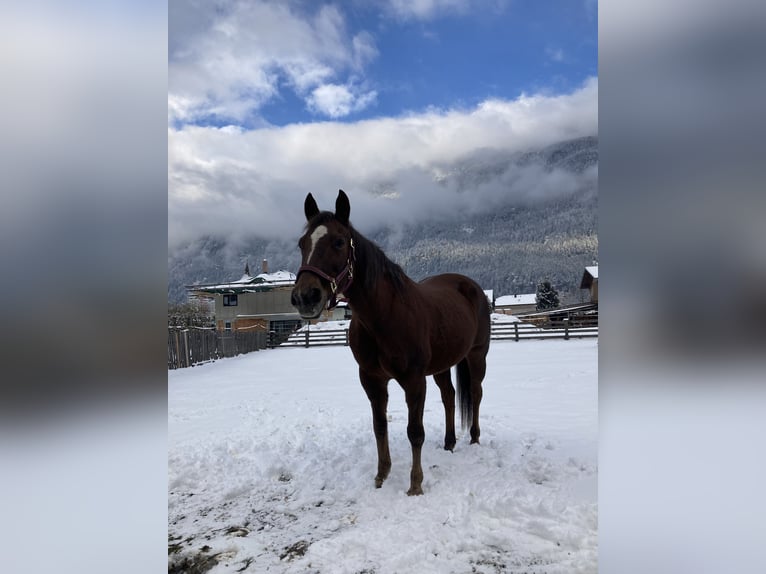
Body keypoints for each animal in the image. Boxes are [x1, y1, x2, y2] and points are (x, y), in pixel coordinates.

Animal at [292, 189, 488, 496]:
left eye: (338, 242)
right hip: (443, 365)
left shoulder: (414, 381)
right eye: (302, 244)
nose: (305, 297)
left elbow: (415, 432)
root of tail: (471, 287)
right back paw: (449, 443)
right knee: (449, 396)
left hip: (477, 356)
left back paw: (474, 439)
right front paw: (381, 475)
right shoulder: (372, 380)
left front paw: (415, 485)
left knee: (476, 394)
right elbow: (379, 426)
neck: (384, 316)